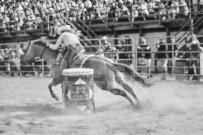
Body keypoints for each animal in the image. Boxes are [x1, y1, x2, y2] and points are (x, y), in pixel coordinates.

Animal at [22, 39, 151, 107]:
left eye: (27, 50)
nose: (25, 60)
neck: (55, 58)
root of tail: (107, 62)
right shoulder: (65, 81)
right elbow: (64, 91)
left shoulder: (58, 79)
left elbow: (50, 86)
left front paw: (56, 97)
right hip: (118, 78)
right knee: (128, 88)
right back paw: (139, 103)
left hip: (105, 84)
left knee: (122, 91)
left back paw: (134, 104)